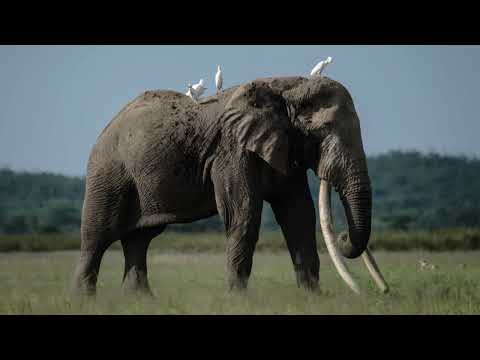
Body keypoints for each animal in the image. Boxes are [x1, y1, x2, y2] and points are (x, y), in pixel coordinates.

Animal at [71, 74, 388, 296]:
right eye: (319, 132)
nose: (344, 237)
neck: (285, 87)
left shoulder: (282, 147)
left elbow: (298, 215)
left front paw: (312, 297)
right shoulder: (232, 149)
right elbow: (243, 214)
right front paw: (238, 298)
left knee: (140, 238)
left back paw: (141, 300)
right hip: (109, 171)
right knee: (97, 235)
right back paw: (84, 299)